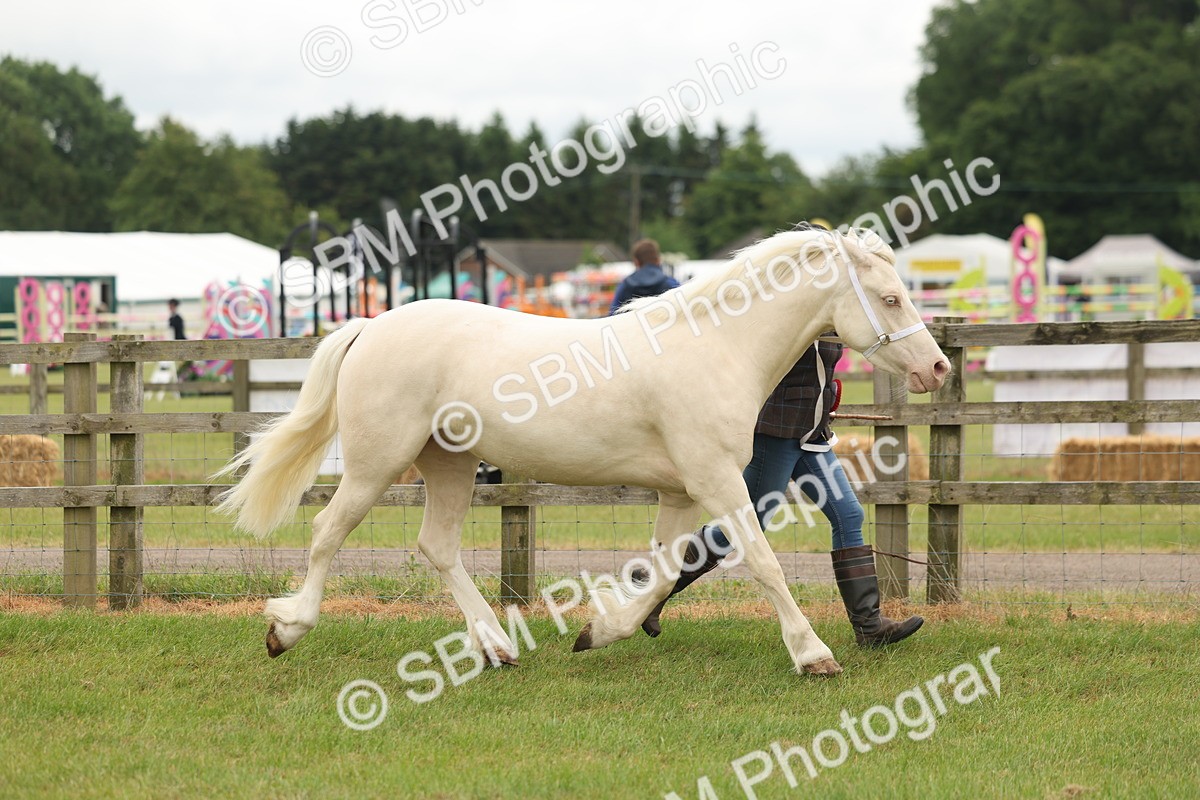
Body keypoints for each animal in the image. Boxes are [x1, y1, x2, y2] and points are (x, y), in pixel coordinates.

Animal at [214, 227, 949, 676]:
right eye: (890, 297)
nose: (938, 368)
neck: (715, 347)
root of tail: (370, 326)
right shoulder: (717, 480)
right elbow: (763, 563)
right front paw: (813, 654)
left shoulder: (681, 491)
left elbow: (663, 570)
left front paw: (601, 630)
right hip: (377, 463)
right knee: (326, 530)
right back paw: (286, 629)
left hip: (449, 463)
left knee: (437, 547)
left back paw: (497, 646)